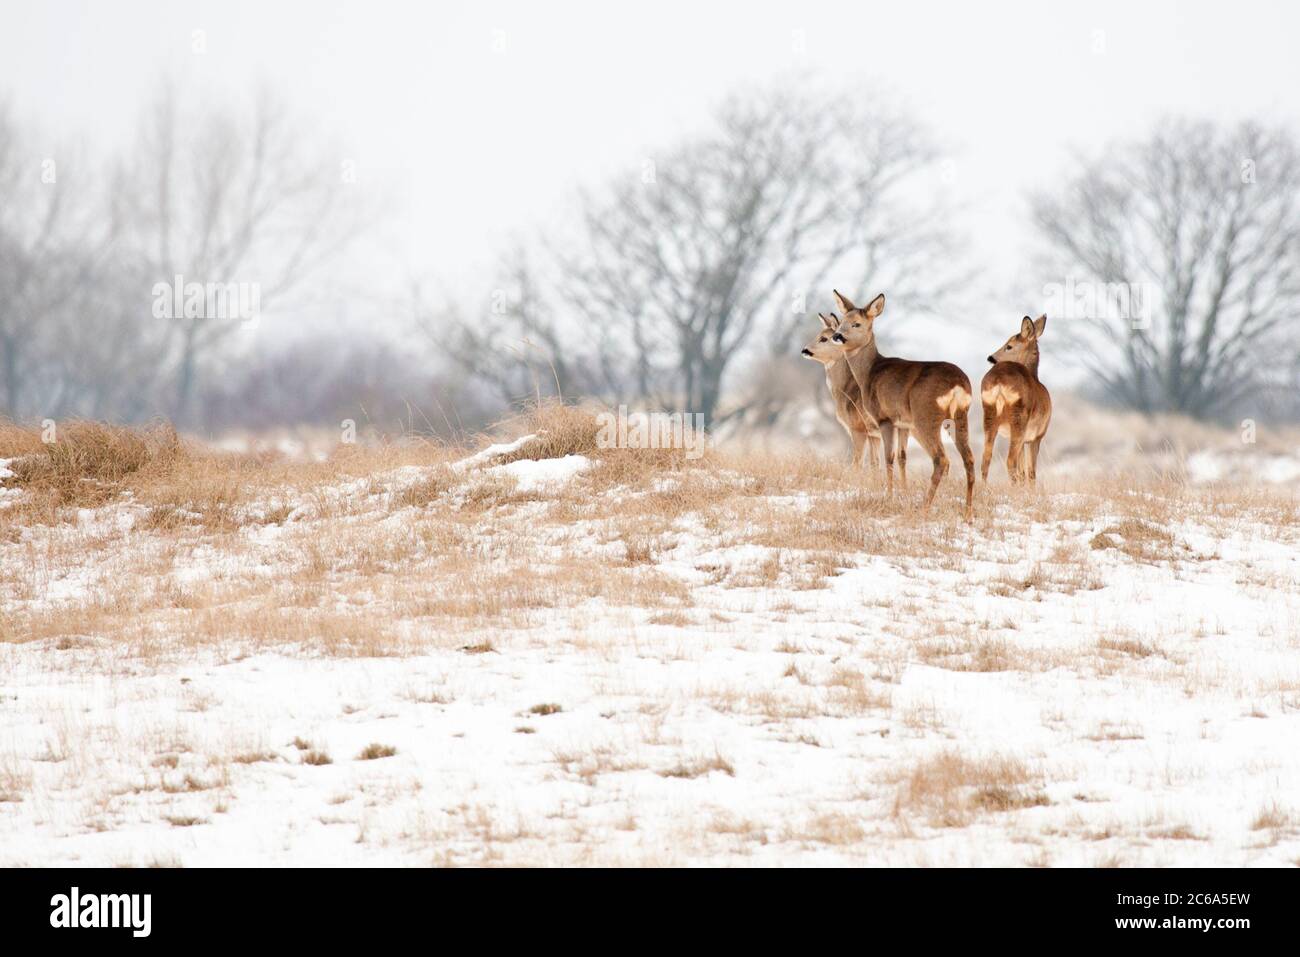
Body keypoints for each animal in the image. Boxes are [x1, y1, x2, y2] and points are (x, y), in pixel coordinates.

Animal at [800, 312, 883, 468]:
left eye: (824, 338)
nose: (804, 350)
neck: (846, 390)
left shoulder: (858, 427)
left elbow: (857, 463)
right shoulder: (873, 434)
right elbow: (875, 464)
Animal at [832, 289, 977, 522]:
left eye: (857, 324)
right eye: (842, 321)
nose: (837, 336)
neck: (868, 373)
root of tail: (958, 385)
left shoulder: (885, 418)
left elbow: (888, 459)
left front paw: (889, 497)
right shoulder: (903, 424)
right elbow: (902, 457)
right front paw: (902, 494)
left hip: (926, 417)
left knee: (941, 459)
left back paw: (925, 508)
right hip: (959, 417)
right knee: (969, 459)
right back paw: (968, 513)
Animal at [977, 315, 1050, 486]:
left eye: (1009, 346)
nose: (991, 358)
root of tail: (998, 381)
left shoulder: (1025, 440)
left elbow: (1023, 471)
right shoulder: (1036, 437)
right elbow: (1031, 472)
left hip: (989, 416)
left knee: (985, 458)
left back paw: (983, 488)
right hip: (1019, 419)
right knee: (1010, 461)